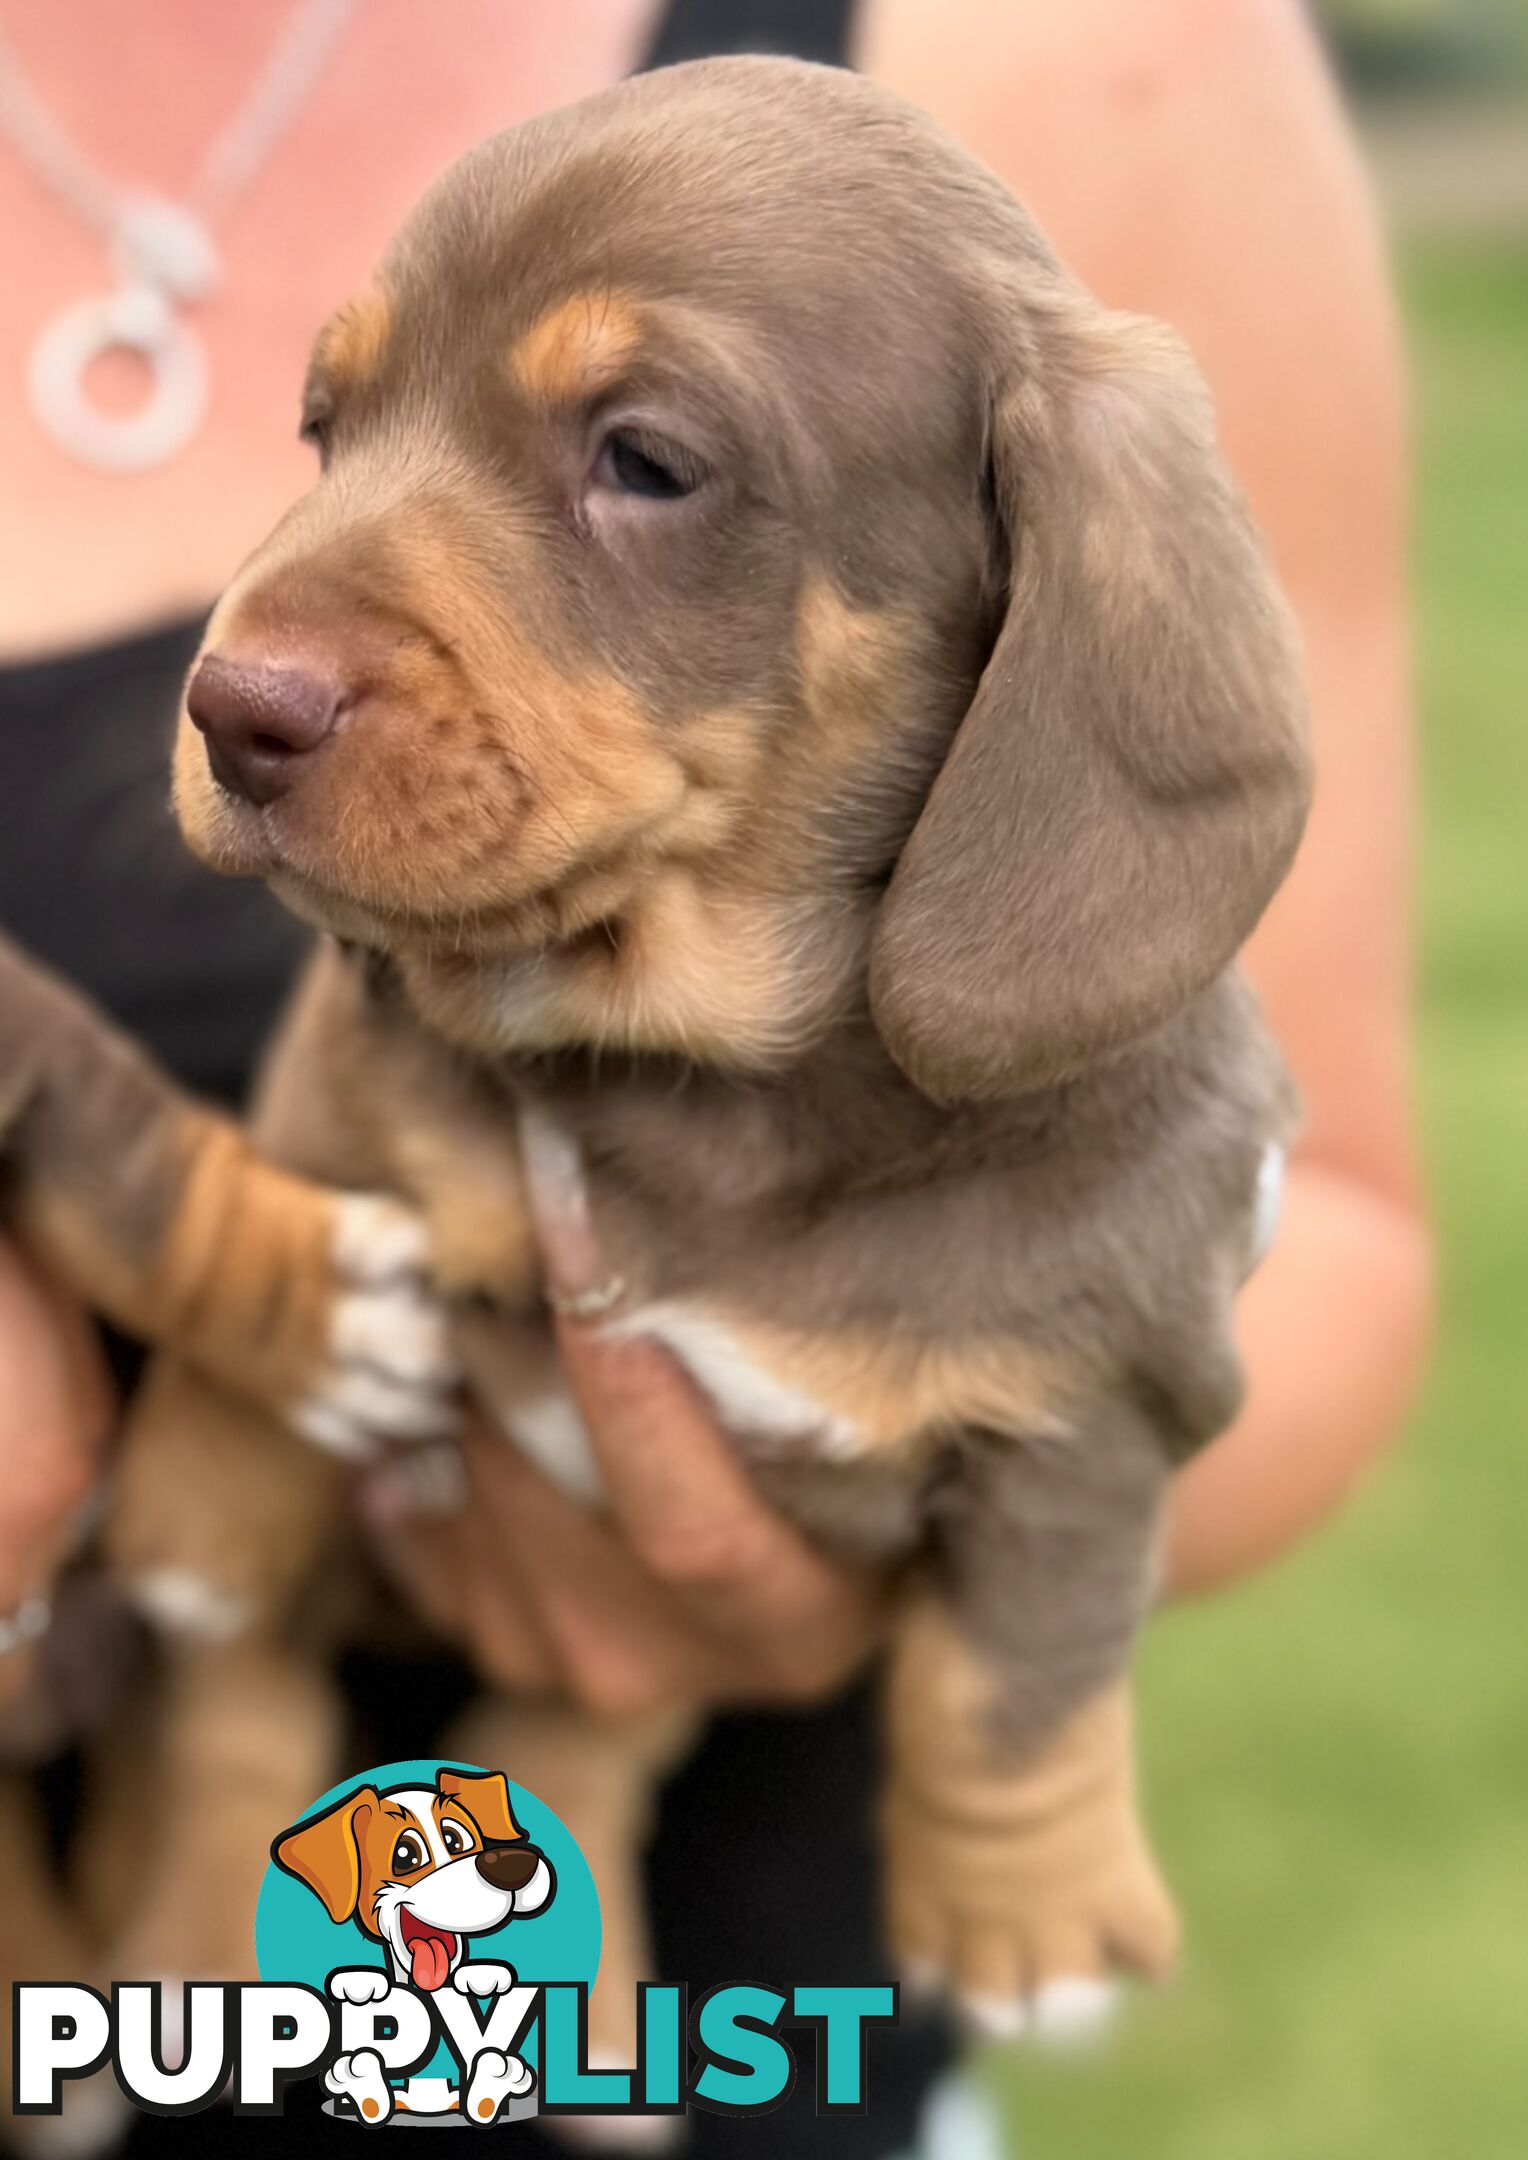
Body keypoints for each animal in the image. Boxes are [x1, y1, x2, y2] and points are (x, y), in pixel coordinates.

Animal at [107, 59, 1305, 2056]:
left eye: (648, 462)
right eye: (324, 427)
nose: (229, 708)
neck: (698, 1071)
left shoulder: (1092, 1417)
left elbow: (1015, 1685)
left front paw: (1031, 1917)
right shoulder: (353, 1078)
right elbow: (304, 1206)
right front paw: (218, 1462)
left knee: (564, 1756)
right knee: (241, 1729)